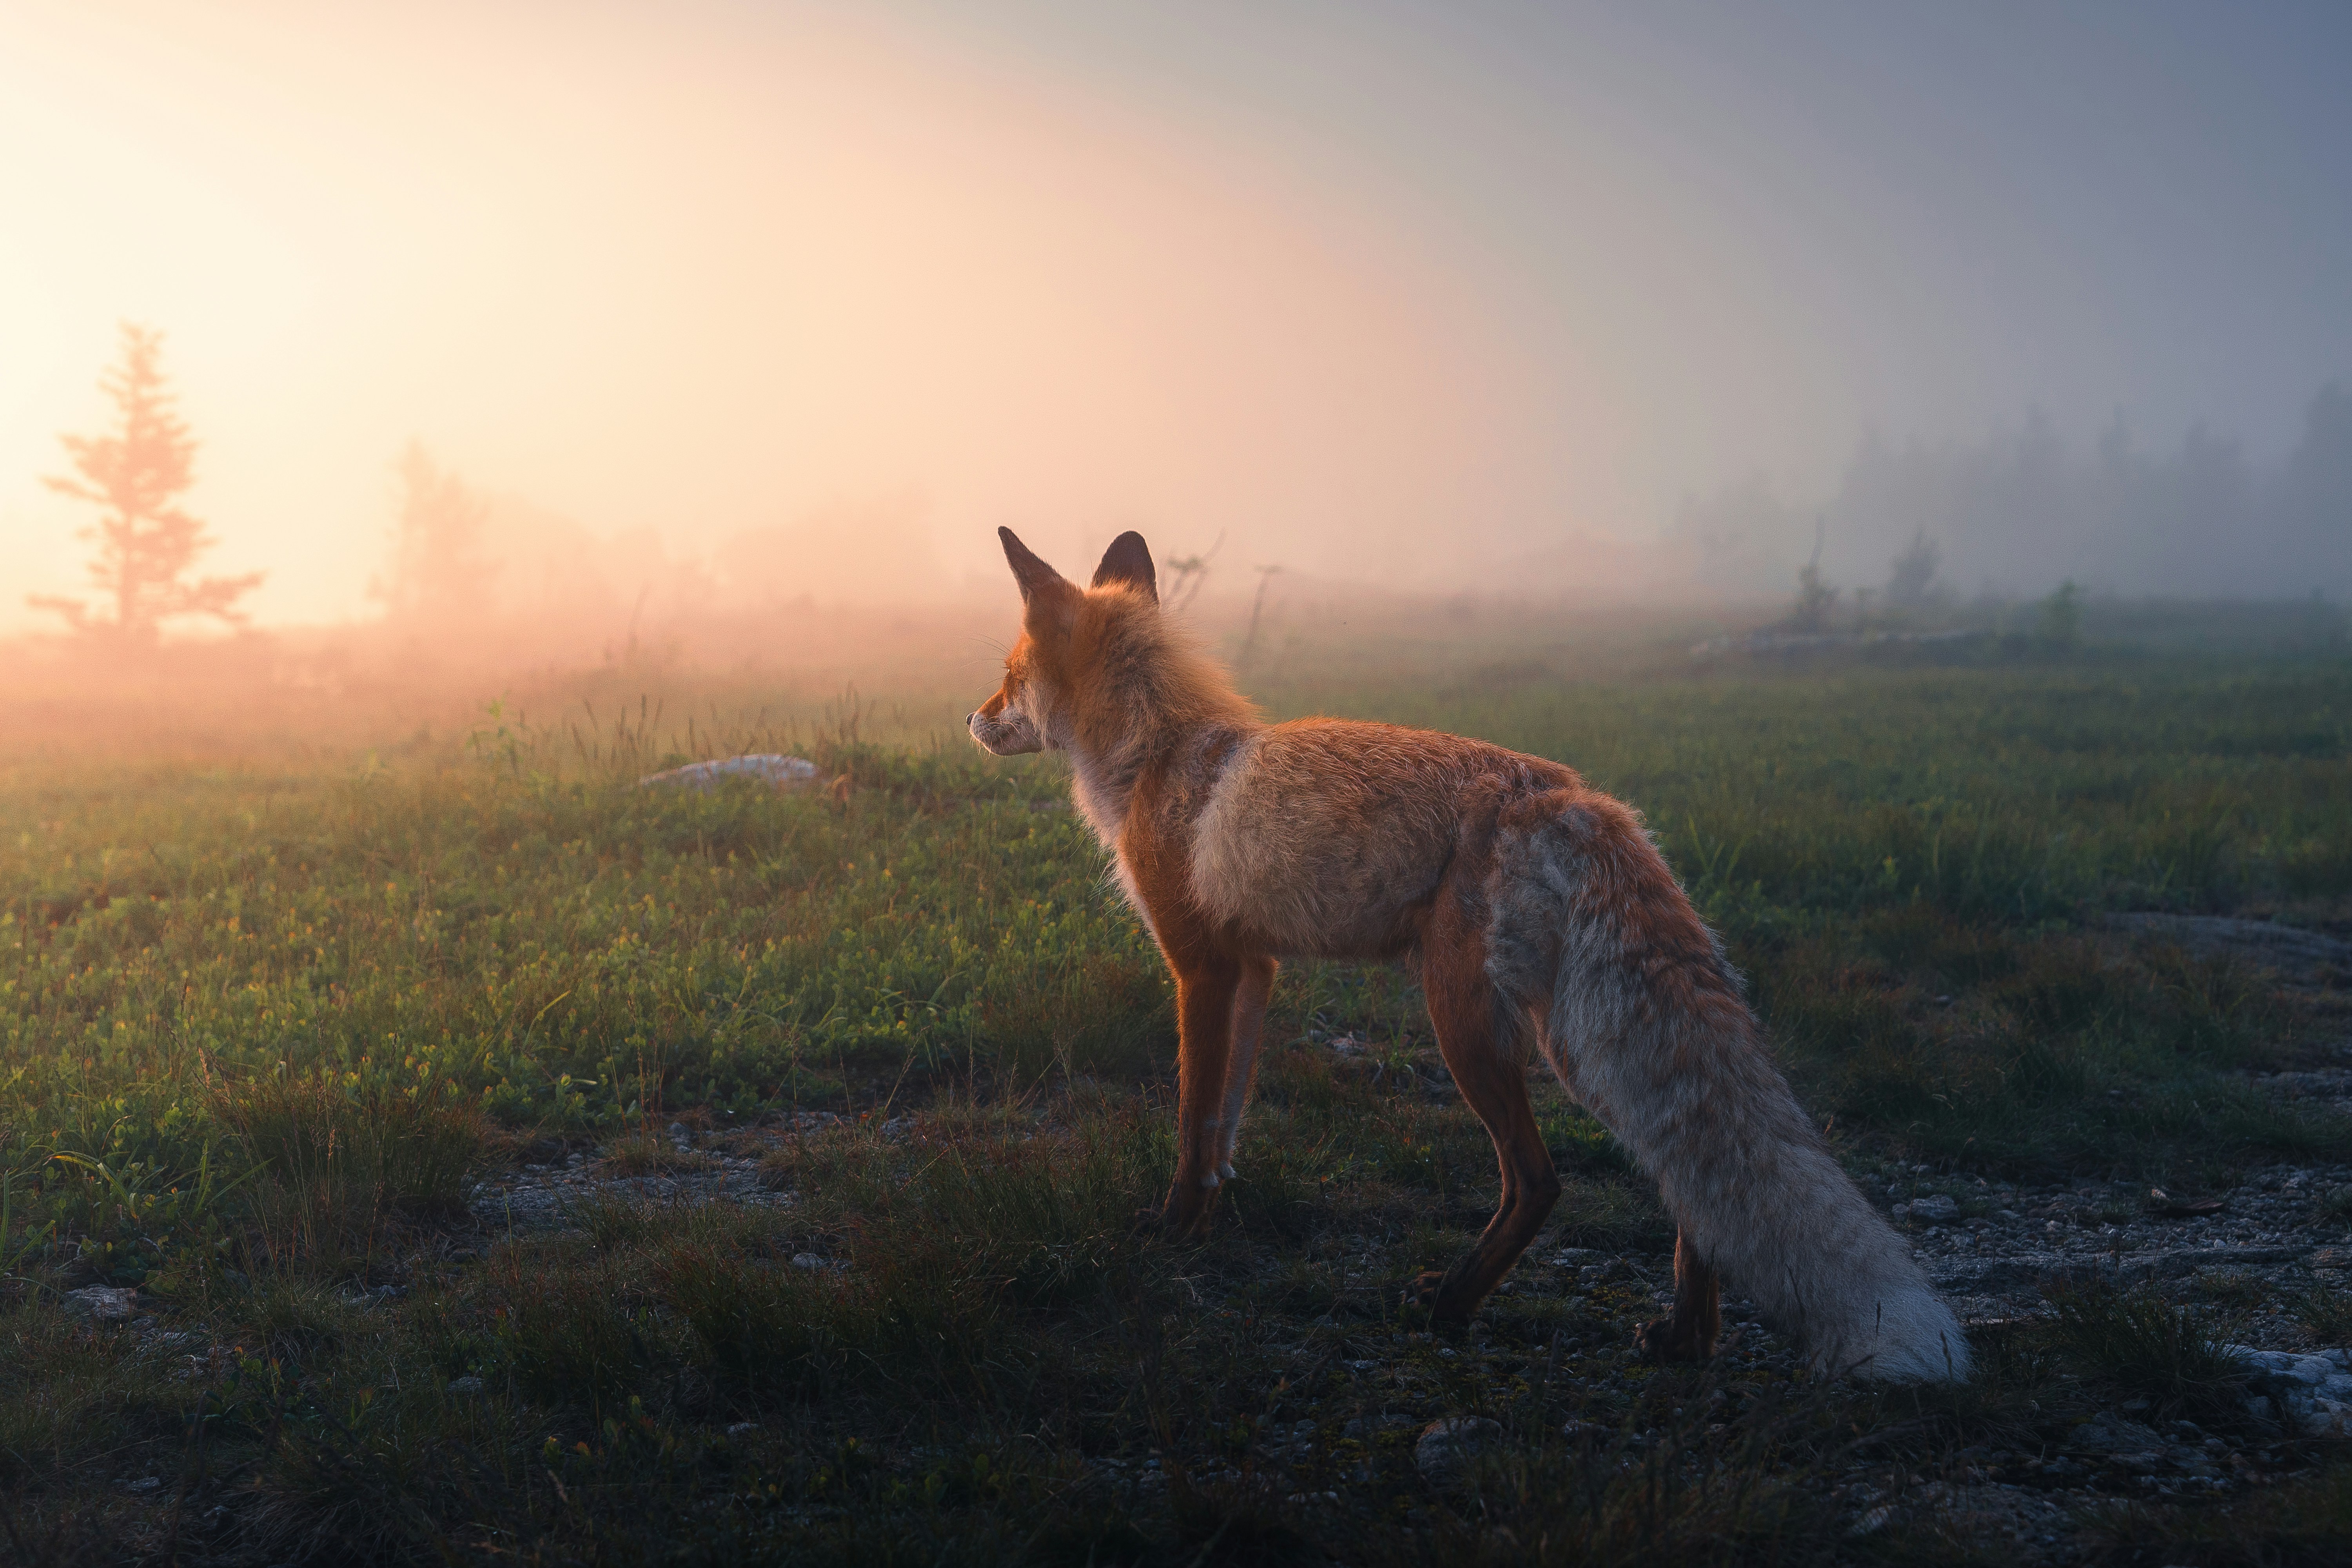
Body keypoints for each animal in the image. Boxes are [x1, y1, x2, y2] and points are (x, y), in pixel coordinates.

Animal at [968, 528, 1969, 1382]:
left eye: (1009, 675)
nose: (971, 720)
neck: (1160, 757)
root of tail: (1565, 792)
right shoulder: (1255, 970)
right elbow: (1225, 1125)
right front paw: (1212, 1213)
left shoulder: (1202, 969)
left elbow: (1192, 1117)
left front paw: (1175, 1226)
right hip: (1572, 1037)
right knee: (1687, 1174)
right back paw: (1686, 1337)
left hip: (1471, 1025)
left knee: (1540, 1179)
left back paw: (1452, 1302)